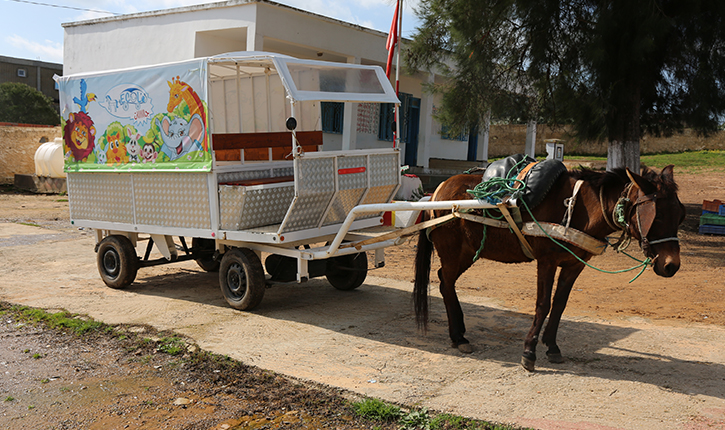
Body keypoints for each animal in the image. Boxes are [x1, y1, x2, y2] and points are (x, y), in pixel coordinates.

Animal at [412, 163, 684, 372]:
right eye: (658, 215)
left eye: (680, 214)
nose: (671, 265)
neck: (579, 208)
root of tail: (437, 192)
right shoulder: (547, 261)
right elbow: (543, 304)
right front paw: (529, 352)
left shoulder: (574, 265)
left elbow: (560, 304)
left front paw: (552, 346)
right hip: (453, 252)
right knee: (446, 283)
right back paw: (458, 336)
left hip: (467, 254)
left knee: (446, 282)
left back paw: (459, 332)